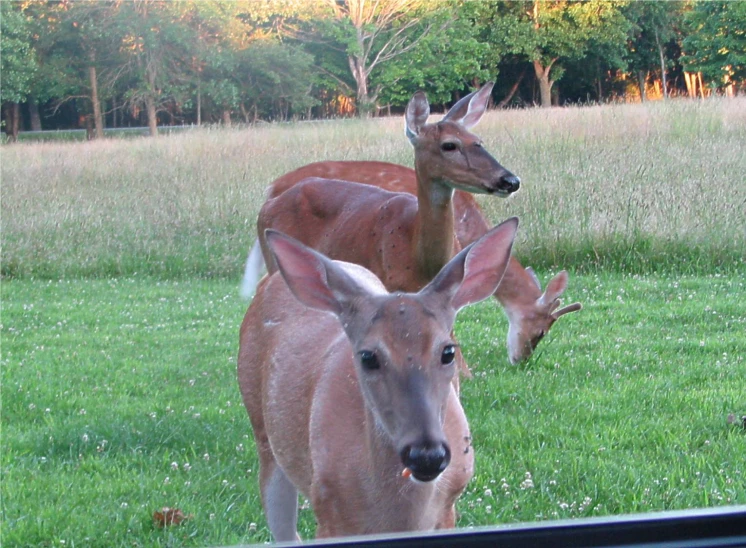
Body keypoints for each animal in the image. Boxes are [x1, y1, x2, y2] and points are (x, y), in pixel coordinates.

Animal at [238, 217, 516, 540]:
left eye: (448, 351)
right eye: (367, 357)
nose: (426, 455)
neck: (400, 517)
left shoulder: (449, 508)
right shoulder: (329, 513)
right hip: (264, 435)